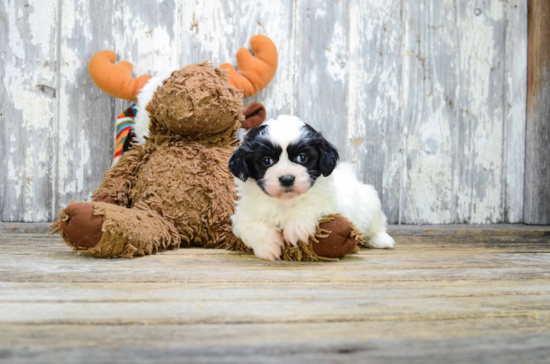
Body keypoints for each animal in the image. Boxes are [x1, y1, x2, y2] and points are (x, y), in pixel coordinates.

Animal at [230, 115, 396, 260]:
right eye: (267, 160)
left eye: (302, 158)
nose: (287, 179)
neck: (285, 201)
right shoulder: (243, 216)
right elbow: (251, 226)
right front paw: (269, 245)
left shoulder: (330, 202)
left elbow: (309, 203)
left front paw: (296, 229)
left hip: (370, 202)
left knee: (377, 224)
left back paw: (381, 240)